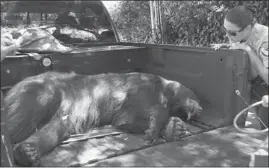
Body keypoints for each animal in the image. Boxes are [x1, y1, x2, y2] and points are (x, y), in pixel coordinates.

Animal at [4, 71, 201, 166]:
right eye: (194, 96)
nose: (199, 110)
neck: (164, 92)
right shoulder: (142, 87)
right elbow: (129, 115)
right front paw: (154, 129)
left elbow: (128, 120)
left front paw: (174, 128)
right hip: (42, 91)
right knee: (18, 120)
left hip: (68, 110)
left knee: (56, 127)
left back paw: (27, 152)